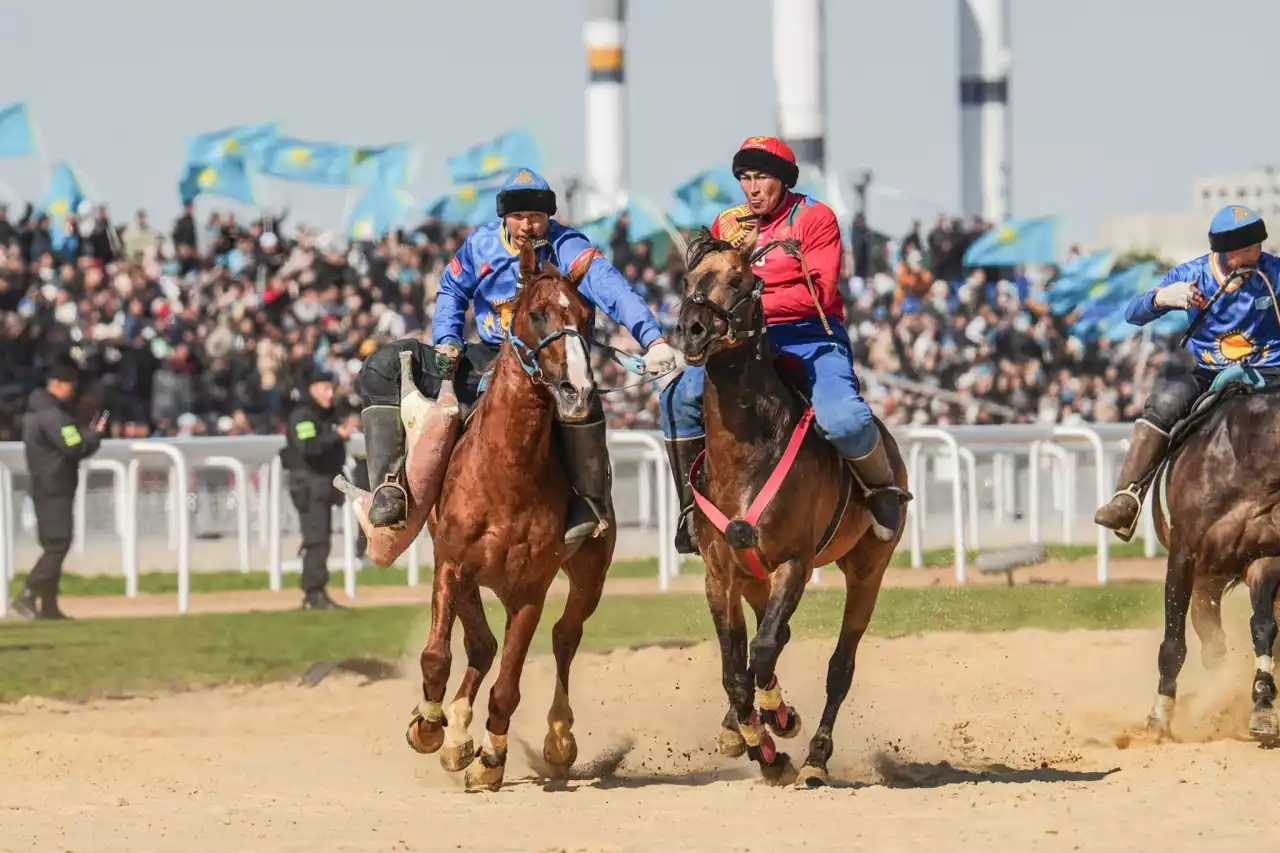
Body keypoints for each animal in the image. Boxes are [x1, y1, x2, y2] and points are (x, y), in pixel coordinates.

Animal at [401, 235, 616, 788]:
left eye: (586, 315)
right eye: (539, 313)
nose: (578, 391)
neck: (507, 473)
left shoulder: (530, 590)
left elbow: (509, 686)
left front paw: (491, 759)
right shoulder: (452, 564)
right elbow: (437, 655)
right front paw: (431, 726)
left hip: (590, 573)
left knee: (565, 637)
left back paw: (557, 738)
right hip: (472, 576)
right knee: (480, 645)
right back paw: (454, 732)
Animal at [675, 230, 906, 783]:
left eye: (739, 279)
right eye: (689, 280)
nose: (692, 330)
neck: (748, 454)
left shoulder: (794, 562)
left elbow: (761, 652)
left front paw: (777, 724)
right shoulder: (721, 575)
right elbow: (734, 671)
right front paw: (757, 742)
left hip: (867, 571)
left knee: (838, 666)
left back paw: (816, 758)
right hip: (754, 579)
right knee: (770, 639)